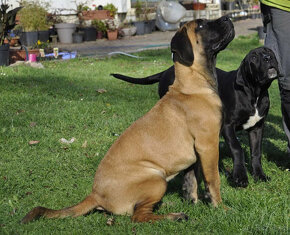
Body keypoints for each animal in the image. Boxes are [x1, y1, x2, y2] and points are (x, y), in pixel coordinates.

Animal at [21, 17, 234, 224]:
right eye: (201, 25)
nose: (228, 18)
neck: (193, 84)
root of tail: (95, 195)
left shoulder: (195, 154)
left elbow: (191, 183)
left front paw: (194, 203)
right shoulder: (208, 145)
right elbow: (213, 180)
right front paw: (221, 208)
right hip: (156, 179)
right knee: (138, 216)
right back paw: (174, 216)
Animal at [112, 46, 280, 188]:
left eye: (269, 51)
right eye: (253, 57)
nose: (268, 58)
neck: (254, 93)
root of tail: (166, 71)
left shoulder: (257, 127)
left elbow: (256, 152)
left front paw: (259, 175)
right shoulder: (228, 126)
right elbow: (237, 149)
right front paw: (239, 177)